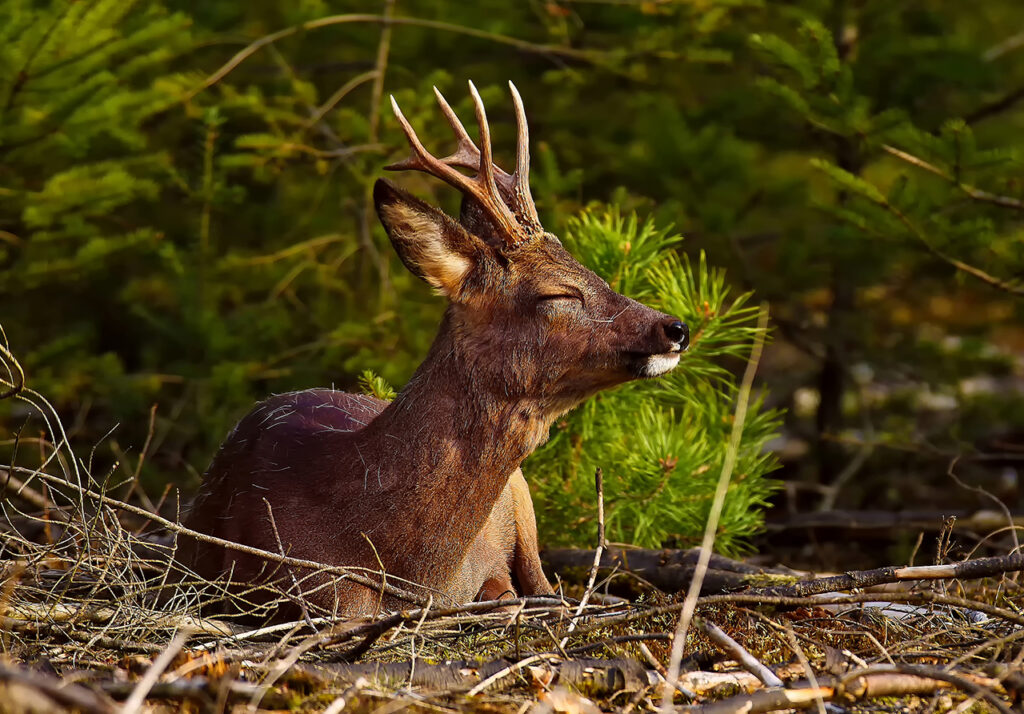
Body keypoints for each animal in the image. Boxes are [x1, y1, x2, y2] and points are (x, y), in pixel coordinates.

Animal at [180, 81, 692, 618]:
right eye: (559, 293)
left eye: (596, 273)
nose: (675, 328)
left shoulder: (487, 570)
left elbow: (507, 597)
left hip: (522, 499)